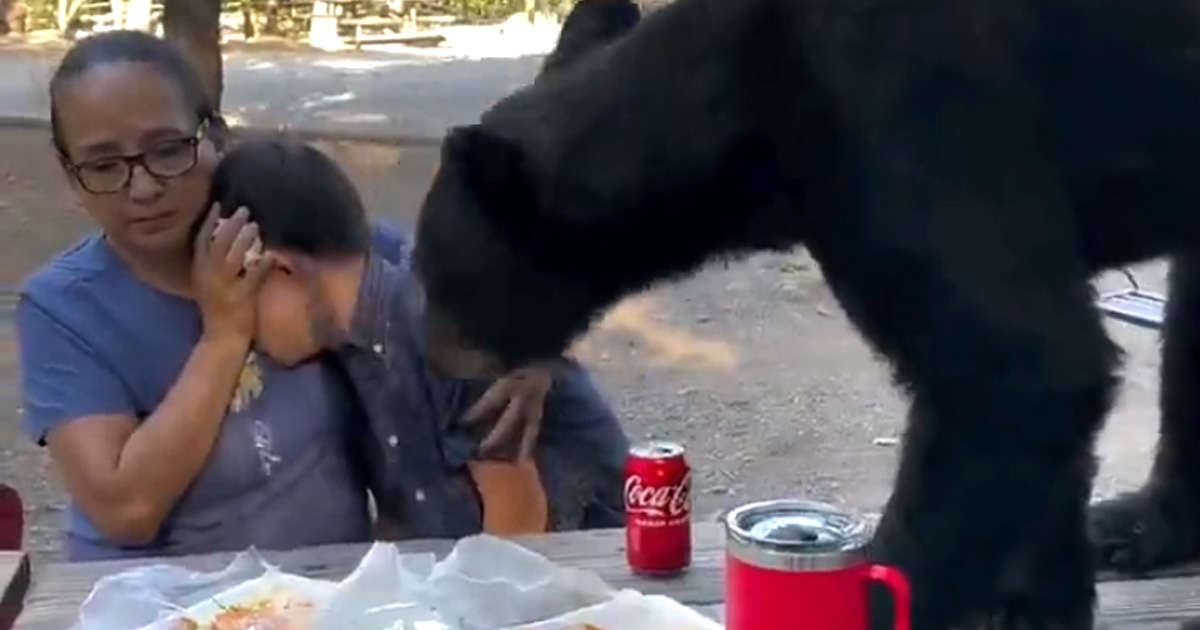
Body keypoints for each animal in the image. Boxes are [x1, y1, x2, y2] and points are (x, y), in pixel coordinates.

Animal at [415, 0, 1200, 624]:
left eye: (432, 277)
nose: (427, 352)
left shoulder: (902, 114)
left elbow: (1016, 363)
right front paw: (1039, 597)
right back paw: (1139, 526)